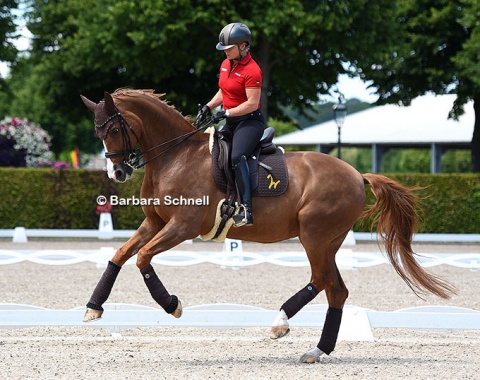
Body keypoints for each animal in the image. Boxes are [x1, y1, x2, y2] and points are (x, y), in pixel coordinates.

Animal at [80, 88, 456, 362]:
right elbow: (120, 254)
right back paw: (317, 350)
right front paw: (94, 307)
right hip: (329, 241)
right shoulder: (155, 221)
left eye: (113, 129)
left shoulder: (182, 227)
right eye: (97, 131)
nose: (118, 172)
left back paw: (279, 324)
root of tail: (356, 174)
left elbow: (143, 257)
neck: (175, 157)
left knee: (321, 280)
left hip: (314, 236)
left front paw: (172, 304)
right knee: (336, 289)